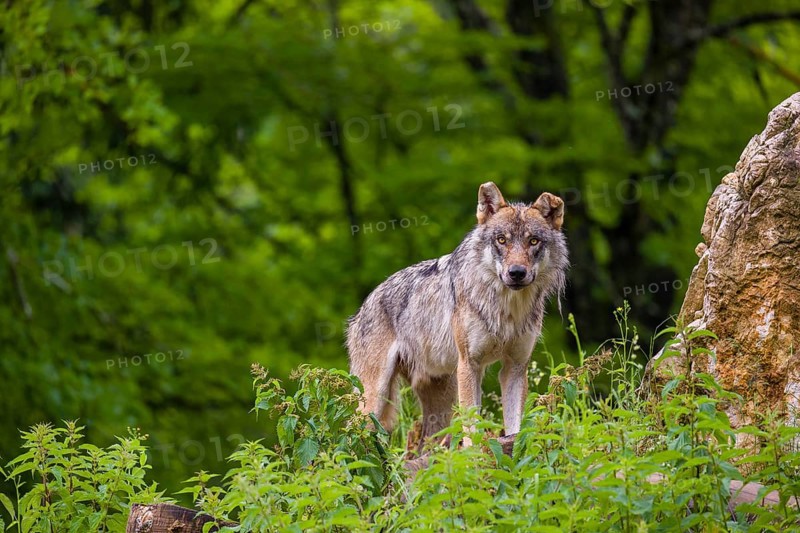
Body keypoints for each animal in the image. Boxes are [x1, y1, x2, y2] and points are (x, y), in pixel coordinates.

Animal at [347, 182, 568, 448]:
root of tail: (362, 307)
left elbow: (515, 426)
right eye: (501, 240)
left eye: (533, 241)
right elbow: (472, 426)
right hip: (374, 398)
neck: (506, 309)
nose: (516, 273)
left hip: (439, 403)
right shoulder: (469, 365)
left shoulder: (515, 368)